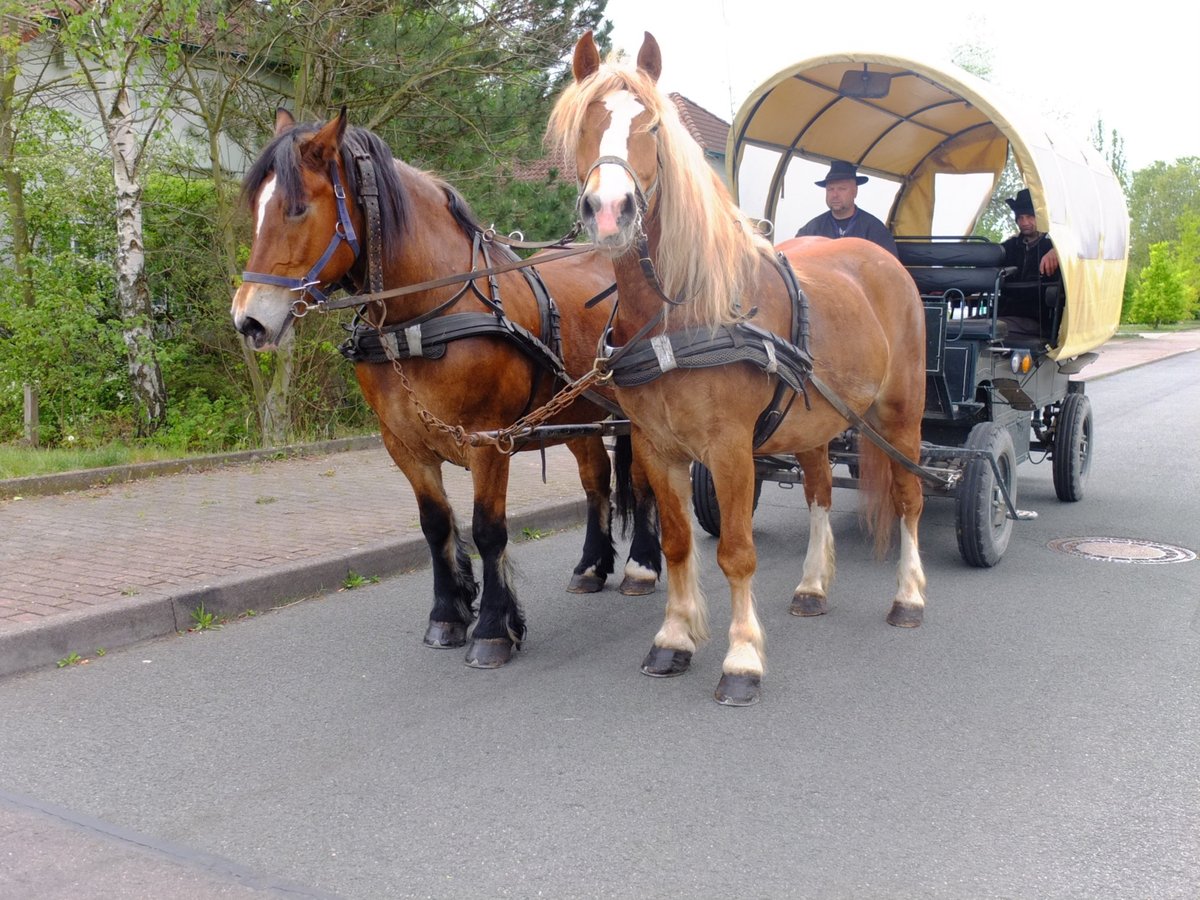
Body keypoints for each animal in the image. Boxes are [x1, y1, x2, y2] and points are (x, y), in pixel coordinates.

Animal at [229, 107, 662, 672]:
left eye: (297, 208)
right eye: (256, 208)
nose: (249, 320)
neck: (422, 316)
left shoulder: (488, 439)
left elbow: (487, 529)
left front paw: (494, 629)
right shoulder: (404, 443)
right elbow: (435, 526)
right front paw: (448, 616)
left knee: (647, 482)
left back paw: (642, 568)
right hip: (577, 414)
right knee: (597, 481)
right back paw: (590, 567)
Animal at [549, 35, 931, 710]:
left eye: (652, 124)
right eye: (587, 122)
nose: (610, 210)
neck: (681, 313)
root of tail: (882, 258)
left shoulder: (728, 449)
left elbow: (736, 552)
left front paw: (743, 658)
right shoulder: (657, 446)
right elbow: (677, 542)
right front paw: (674, 639)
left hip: (900, 414)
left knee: (910, 498)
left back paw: (908, 597)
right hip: (814, 421)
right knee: (819, 493)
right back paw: (812, 587)